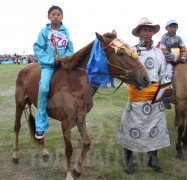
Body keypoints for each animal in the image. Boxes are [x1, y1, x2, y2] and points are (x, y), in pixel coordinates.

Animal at [12, 30, 150, 179]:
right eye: (120, 53)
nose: (146, 78)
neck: (74, 86)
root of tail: (25, 68)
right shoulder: (66, 123)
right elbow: (69, 150)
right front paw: (68, 174)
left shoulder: (81, 118)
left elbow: (87, 143)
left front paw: (77, 169)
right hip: (19, 104)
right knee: (17, 127)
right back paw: (15, 155)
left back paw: (43, 150)